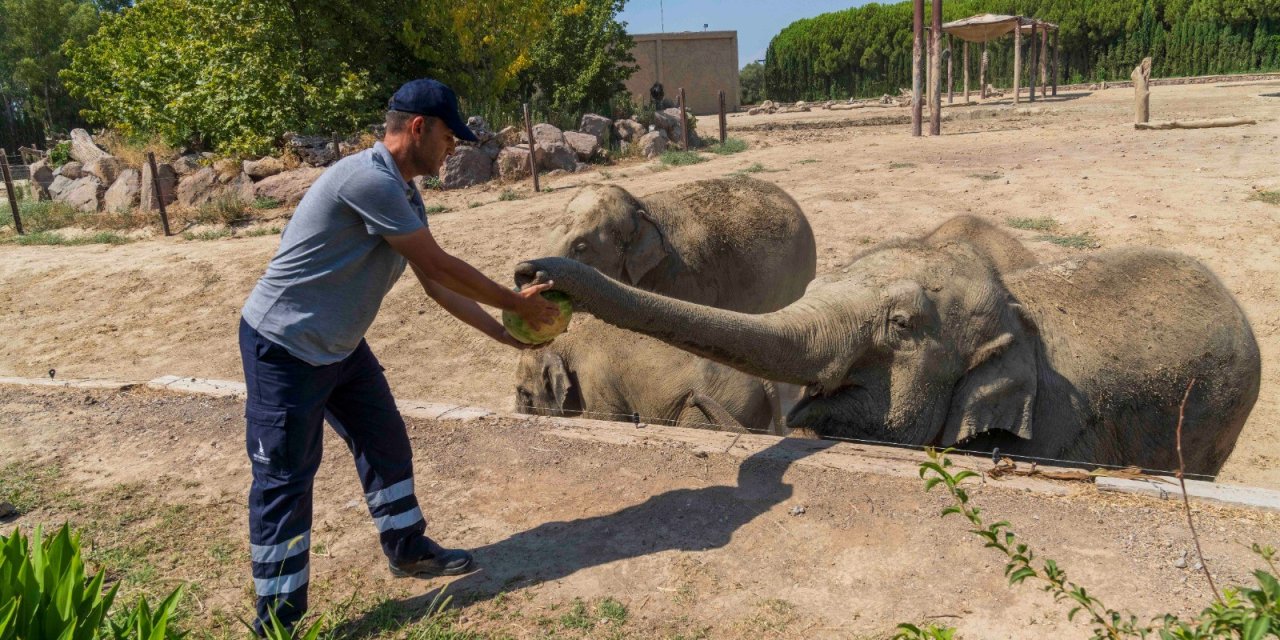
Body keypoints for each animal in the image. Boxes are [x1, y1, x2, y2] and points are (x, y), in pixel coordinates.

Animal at [514, 314, 783, 435]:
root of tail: (765, 379)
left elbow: (608, 418)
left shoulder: (594, 384)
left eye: (522, 392)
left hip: (724, 401)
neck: (564, 342)